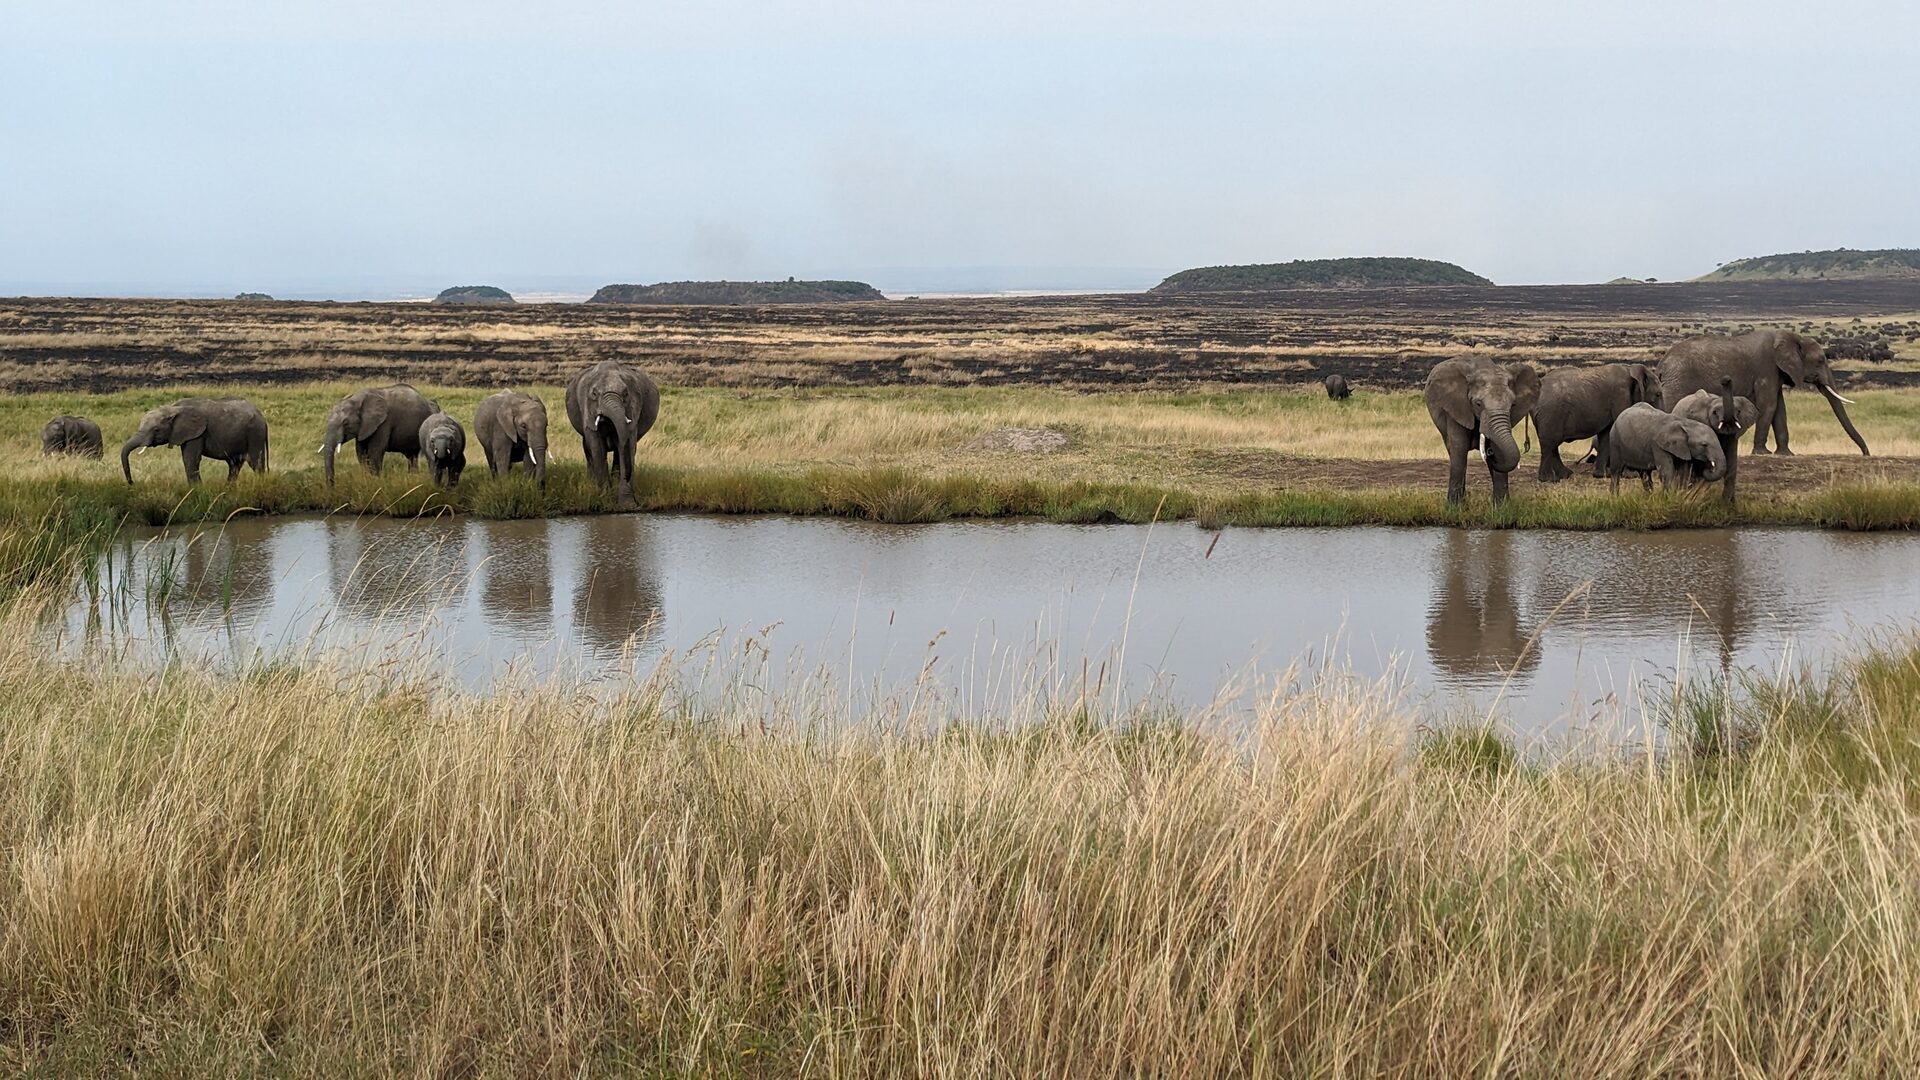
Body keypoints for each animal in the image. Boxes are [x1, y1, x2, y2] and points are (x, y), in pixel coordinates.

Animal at [121, 397, 269, 484]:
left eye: (156, 430)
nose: (132, 483)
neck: (173, 408)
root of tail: (263, 418)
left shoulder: (197, 434)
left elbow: (190, 459)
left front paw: (196, 490)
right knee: (234, 465)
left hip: (255, 434)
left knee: (255, 463)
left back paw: (260, 485)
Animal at [565, 361, 660, 508]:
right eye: (594, 394)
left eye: (626, 394)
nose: (636, 502)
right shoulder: (587, 411)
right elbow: (597, 448)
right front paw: (605, 497)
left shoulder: (633, 409)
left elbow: (628, 444)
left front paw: (627, 505)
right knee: (588, 448)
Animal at [1424, 357, 1541, 504]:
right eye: (1478, 404)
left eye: (1512, 405)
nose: (1489, 453)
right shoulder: (1456, 408)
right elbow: (1459, 448)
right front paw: (1454, 506)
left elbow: (1499, 449)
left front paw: (1502, 506)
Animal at [1655, 330, 1868, 456]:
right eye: (1821, 360)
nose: (1866, 454)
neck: (1791, 337)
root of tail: (1662, 364)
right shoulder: (1767, 369)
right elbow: (1769, 406)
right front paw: (1762, 453)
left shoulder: (1778, 373)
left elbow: (1780, 410)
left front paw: (1786, 454)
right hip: (1678, 381)